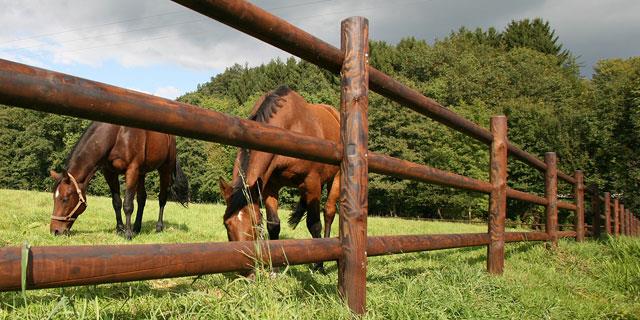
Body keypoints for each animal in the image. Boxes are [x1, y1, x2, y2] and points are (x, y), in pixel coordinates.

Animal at [48, 122, 189, 240]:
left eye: (65, 199)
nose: (55, 231)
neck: (117, 135)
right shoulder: (110, 173)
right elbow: (116, 202)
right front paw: (120, 229)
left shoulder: (131, 170)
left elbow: (127, 204)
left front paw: (127, 234)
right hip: (142, 173)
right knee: (142, 198)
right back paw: (136, 228)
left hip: (164, 169)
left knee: (162, 198)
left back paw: (158, 227)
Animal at [219, 85, 342, 270]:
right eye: (226, 223)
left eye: (256, 223)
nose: (243, 267)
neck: (288, 127)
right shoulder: (270, 186)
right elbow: (273, 225)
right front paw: (275, 268)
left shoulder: (312, 183)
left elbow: (314, 224)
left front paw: (318, 265)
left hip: (335, 179)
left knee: (328, 212)